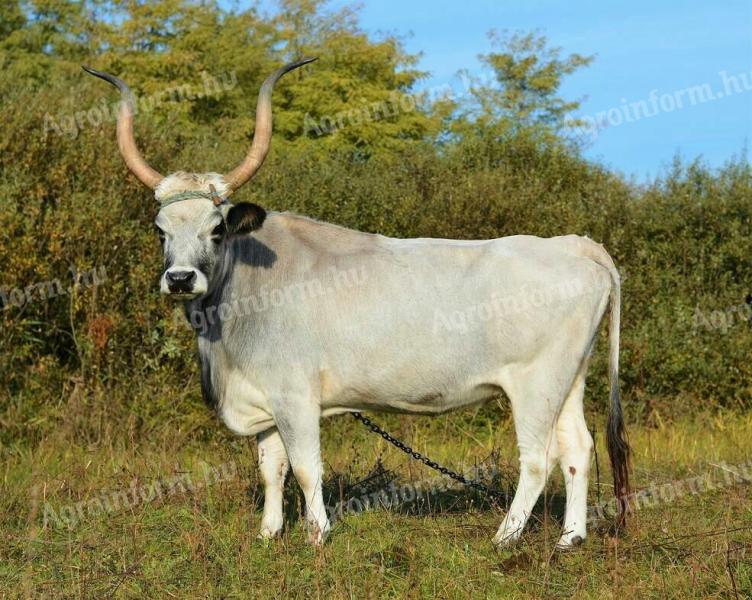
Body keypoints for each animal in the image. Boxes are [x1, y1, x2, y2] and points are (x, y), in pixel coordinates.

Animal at [85, 58, 632, 548]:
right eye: (160, 231)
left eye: (217, 229)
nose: (180, 278)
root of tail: (573, 244)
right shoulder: (265, 398)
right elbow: (271, 468)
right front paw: (268, 534)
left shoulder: (296, 397)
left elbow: (306, 468)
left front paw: (317, 536)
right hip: (569, 379)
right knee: (578, 448)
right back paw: (570, 537)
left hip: (534, 384)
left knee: (538, 459)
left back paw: (505, 537)